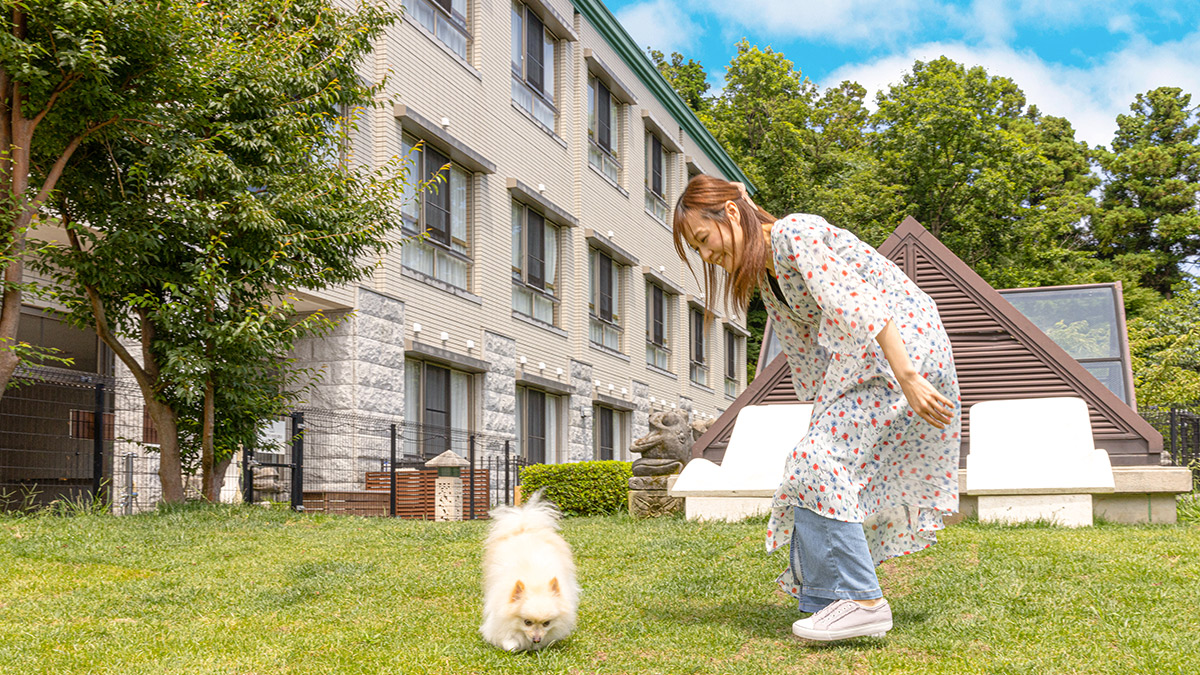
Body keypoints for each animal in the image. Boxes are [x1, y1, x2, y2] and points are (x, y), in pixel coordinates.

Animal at [480, 487, 578, 653]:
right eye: (527, 622)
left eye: (546, 623)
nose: (536, 639)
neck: (535, 584)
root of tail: (524, 526)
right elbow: (509, 642)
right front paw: (514, 645)